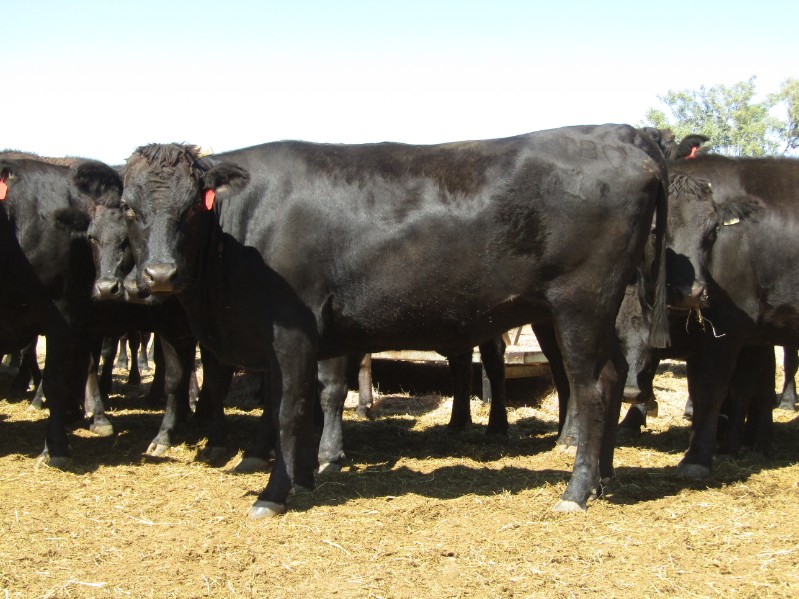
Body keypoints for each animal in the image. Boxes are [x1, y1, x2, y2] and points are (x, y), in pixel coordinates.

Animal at [119, 124, 670, 517]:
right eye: (127, 208)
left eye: (192, 208)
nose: (159, 273)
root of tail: (622, 136)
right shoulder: (294, 341)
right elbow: (297, 405)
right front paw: (305, 478)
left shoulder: (290, 332)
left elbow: (288, 411)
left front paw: (274, 494)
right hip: (602, 310)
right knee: (614, 375)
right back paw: (604, 477)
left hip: (579, 307)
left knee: (591, 388)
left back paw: (576, 491)